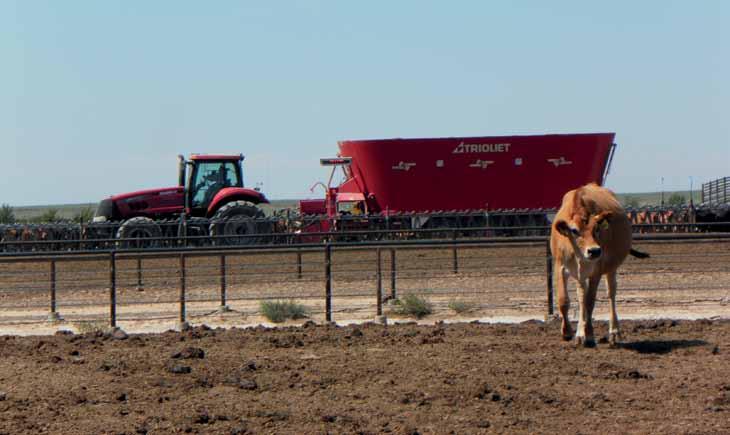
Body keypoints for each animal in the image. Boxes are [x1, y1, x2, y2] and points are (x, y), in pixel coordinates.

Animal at [548, 183, 644, 348]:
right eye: (574, 230)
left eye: (597, 228)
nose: (594, 251)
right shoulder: (560, 267)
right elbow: (563, 300)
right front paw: (567, 332)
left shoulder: (596, 272)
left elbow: (589, 303)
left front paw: (589, 335)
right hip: (580, 275)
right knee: (581, 295)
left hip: (610, 269)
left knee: (610, 294)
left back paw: (613, 332)